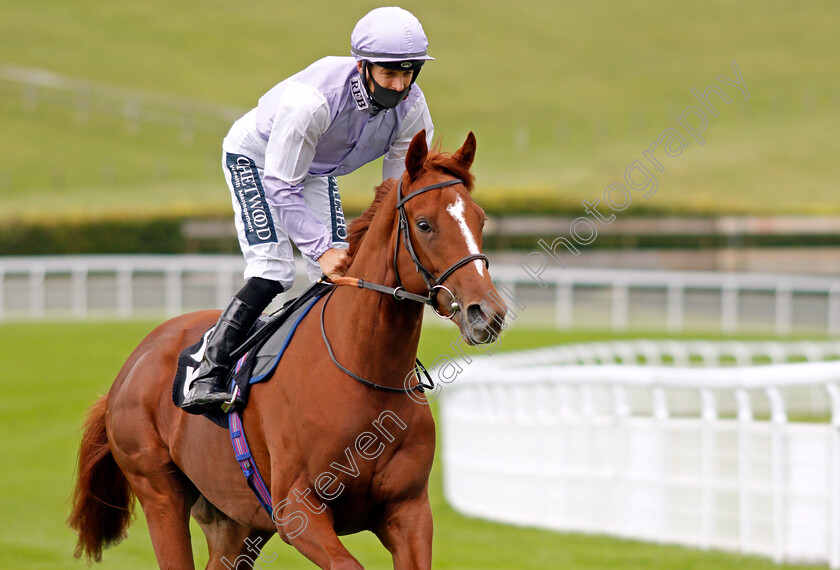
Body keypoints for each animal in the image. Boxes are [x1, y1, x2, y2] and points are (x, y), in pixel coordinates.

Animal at [67, 131, 506, 564]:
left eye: (480, 219)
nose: (486, 311)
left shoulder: (409, 510)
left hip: (236, 519)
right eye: (424, 223)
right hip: (160, 491)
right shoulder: (298, 511)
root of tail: (130, 368)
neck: (363, 370)